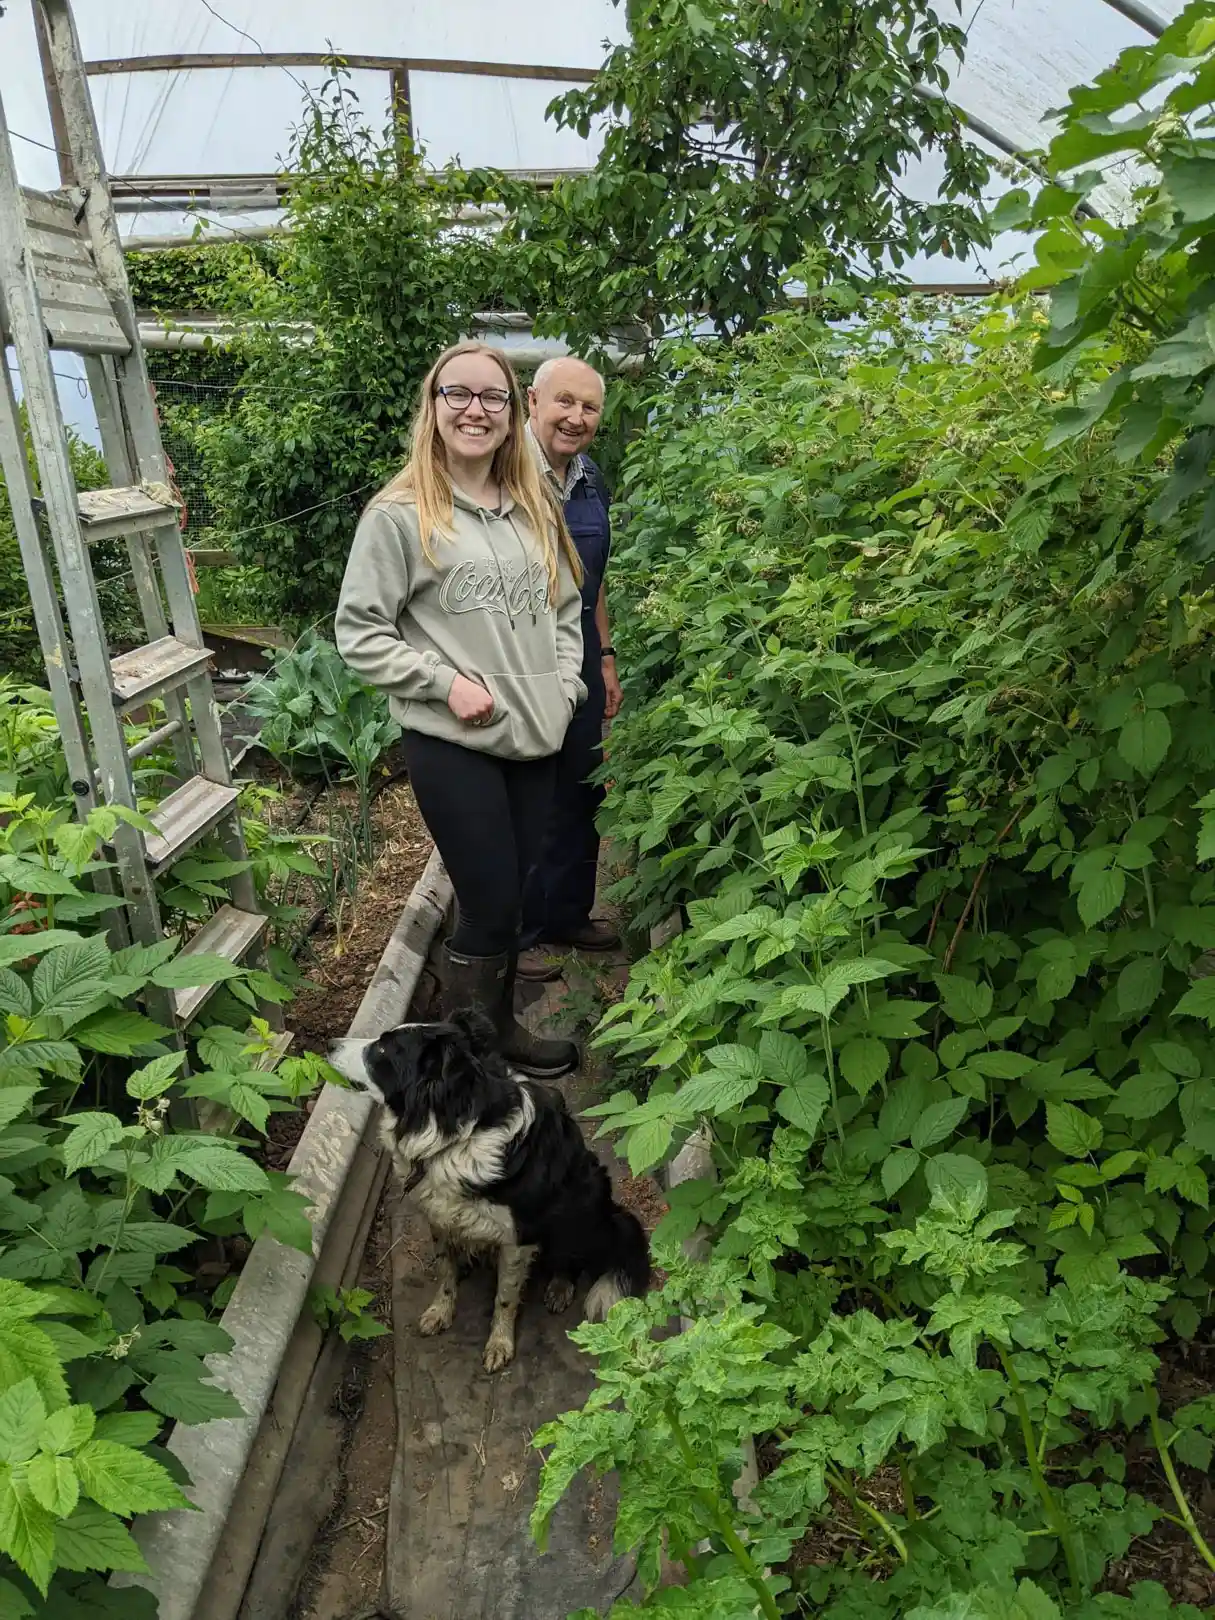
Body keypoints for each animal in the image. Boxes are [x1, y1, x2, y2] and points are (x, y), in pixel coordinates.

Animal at [329, 1010, 651, 1372]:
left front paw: (499, 1344)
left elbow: (505, 1298)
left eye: (383, 1050)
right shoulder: (438, 1215)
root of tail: (612, 1216)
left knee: (573, 1259)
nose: (328, 1043)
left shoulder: (516, 1237)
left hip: (583, 1202)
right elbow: (445, 1271)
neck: (455, 1136)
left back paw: (559, 1287)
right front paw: (440, 1311)